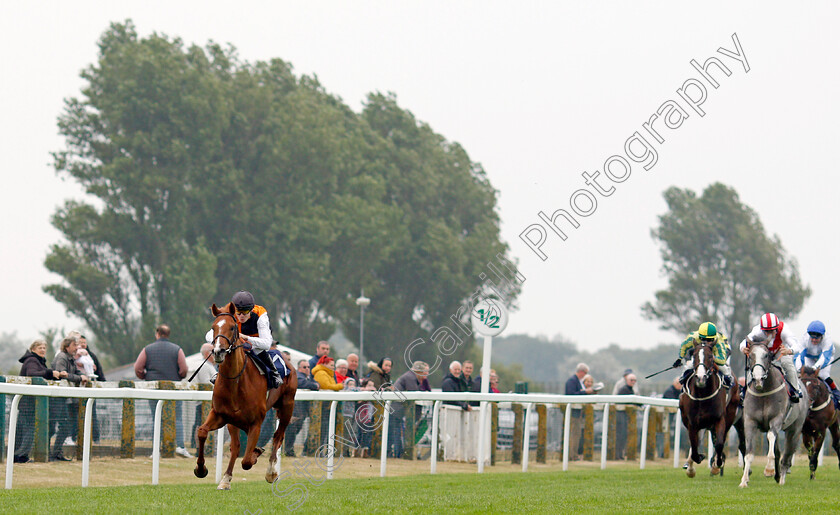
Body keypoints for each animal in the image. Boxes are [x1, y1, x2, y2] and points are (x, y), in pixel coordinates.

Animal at [192, 302, 296, 492]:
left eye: (232, 327)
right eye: (213, 327)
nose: (218, 352)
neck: (235, 382)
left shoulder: (256, 421)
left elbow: (247, 461)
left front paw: (256, 456)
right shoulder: (220, 415)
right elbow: (202, 432)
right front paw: (201, 469)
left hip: (287, 406)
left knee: (278, 436)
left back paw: (271, 472)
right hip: (234, 422)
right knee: (236, 447)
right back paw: (226, 478)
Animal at [680, 342, 744, 480]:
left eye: (710, 356)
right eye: (694, 355)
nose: (701, 378)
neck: (703, 395)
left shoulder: (719, 419)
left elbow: (719, 444)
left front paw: (717, 465)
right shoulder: (692, 423)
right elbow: (694, 447)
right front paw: (694, 465)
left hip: (730, 416)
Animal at [740, 340, 812, 490]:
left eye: (766, 355)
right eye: (751, 355)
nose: (758, 378)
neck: (763, 392)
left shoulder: (776, 420)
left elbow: (771, 437)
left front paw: (769, 470)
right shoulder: (750, 422)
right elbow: (749, 453)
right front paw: (744, 480)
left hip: (795, 430)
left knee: (787, 455)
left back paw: (782, 478)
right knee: (779, 452)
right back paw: (778, 476)